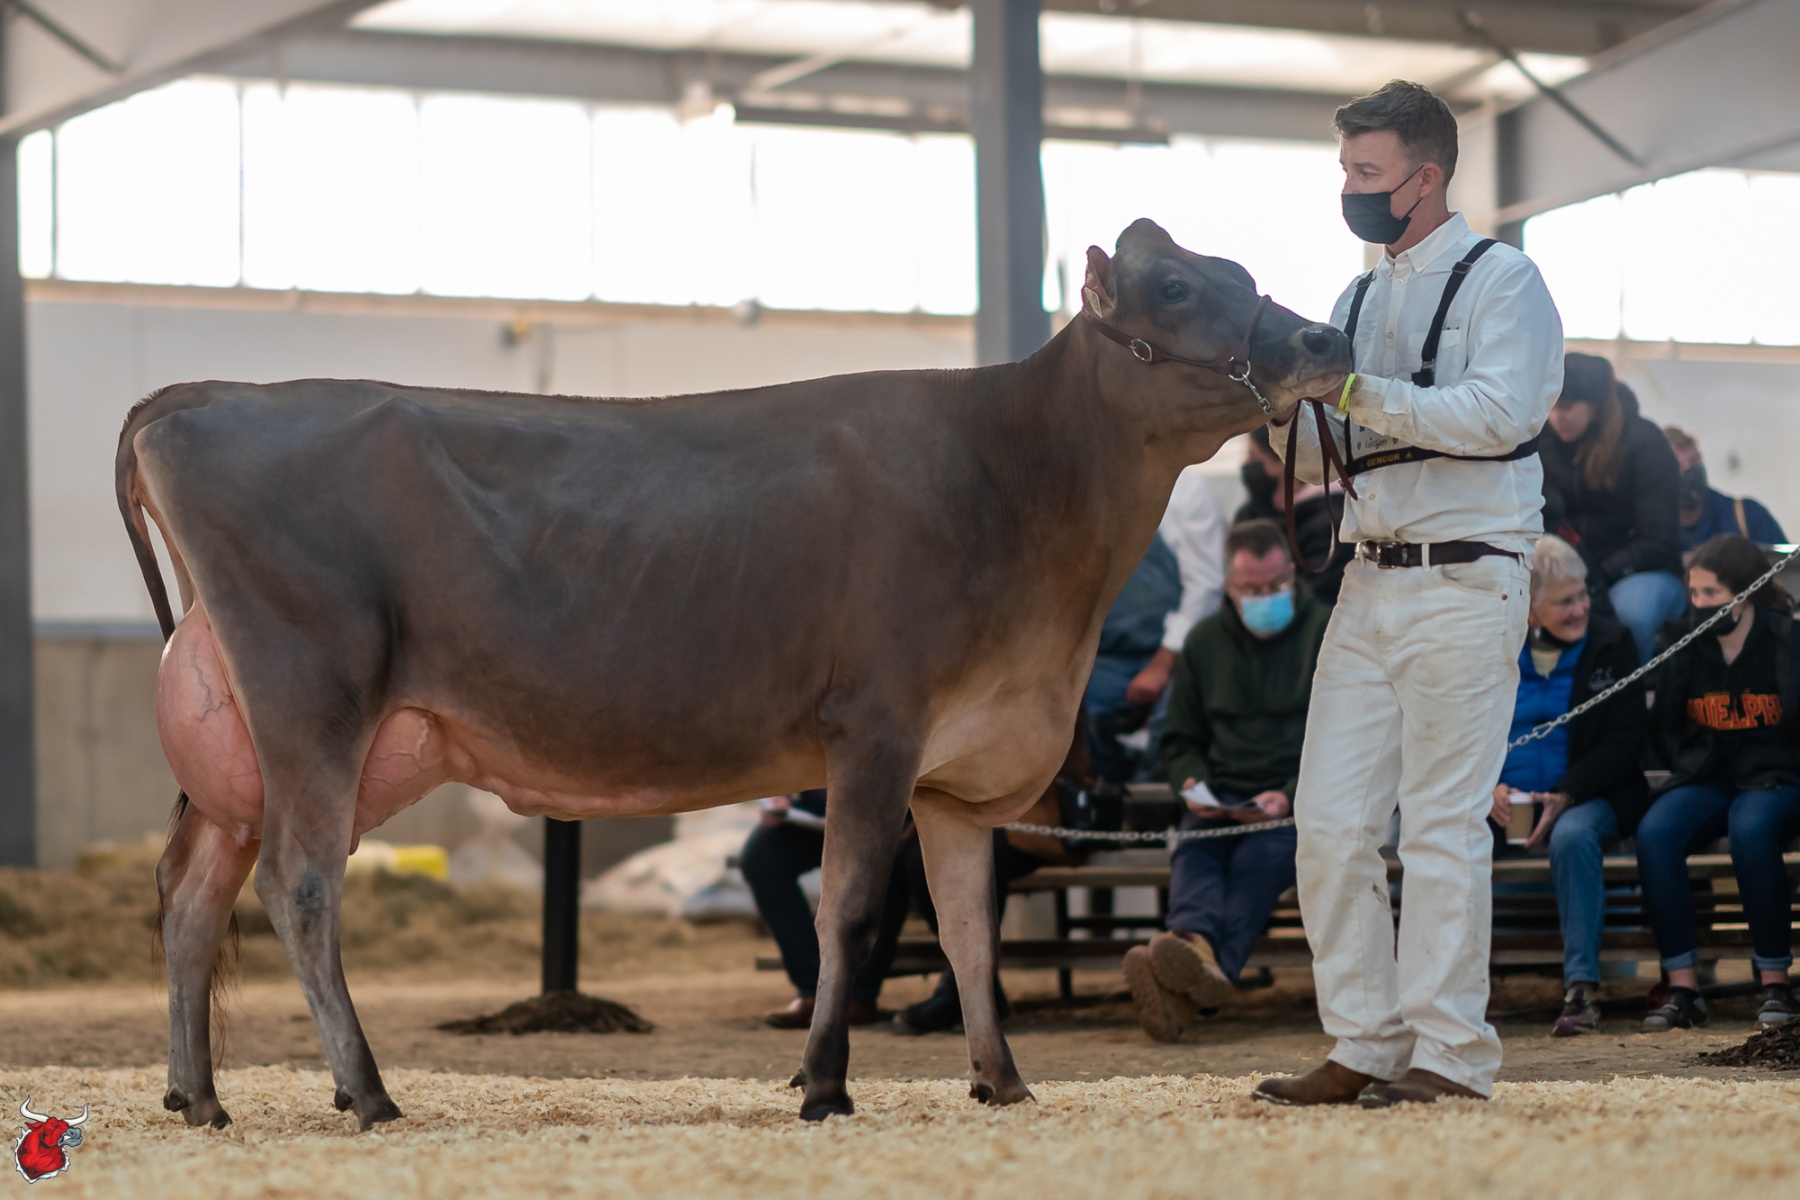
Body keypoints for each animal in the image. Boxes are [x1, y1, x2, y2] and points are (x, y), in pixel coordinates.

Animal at [118, 219, 1350, 1132]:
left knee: (192, 887)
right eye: (1179, 287)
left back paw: (197, 1098)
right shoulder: (876, 728)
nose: (1322, 341)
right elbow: (850, 909)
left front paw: (1001, 1079)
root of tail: (201, 394)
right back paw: (365, 1093)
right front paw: (826, 1084)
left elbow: (967, 929)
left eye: (1242, 274)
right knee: (298, 884)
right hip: (313, 699)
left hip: (241, 741)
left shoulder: (959, 769)